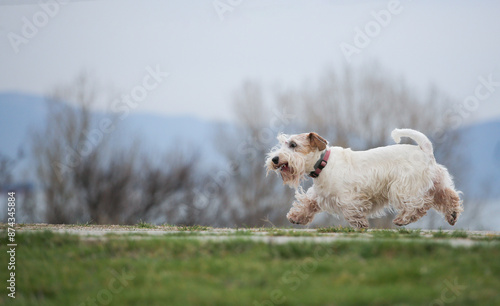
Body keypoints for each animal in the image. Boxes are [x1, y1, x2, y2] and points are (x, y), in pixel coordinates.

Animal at [266, 128, 464, 227]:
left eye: (293, 145)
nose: (274, 159)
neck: (323, 163)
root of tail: (424, 149)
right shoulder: (319, 195)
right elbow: (308, 203)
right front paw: (296, 217)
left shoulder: (349, 197)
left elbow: (352, 211)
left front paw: (360, 224)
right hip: (436, 183)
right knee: (449, 196)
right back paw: (452, 215)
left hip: (404, 188)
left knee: (420, 205)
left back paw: (402, 219)